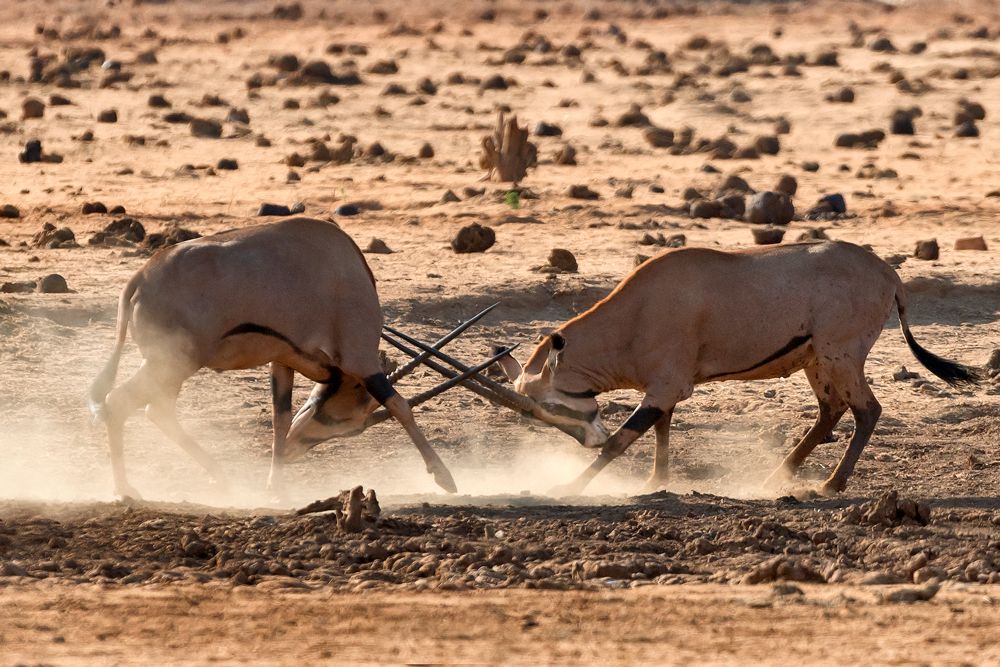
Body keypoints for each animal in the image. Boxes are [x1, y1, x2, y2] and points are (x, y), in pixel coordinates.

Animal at [87, 219, 504, 500]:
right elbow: (400, 405)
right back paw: (126, 490)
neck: (349, 269)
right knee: (120, 402)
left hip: (170, 368)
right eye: (349, 426)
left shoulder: (283, 360)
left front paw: (276, 486)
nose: (293, 453)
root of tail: (139, 279)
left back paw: (220, 478)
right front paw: (445, 478)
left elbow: (280, 418)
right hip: (171, 364)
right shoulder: (360, 357)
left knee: (152, 410)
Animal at [488, 240, 980, 496]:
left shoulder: (666, 386)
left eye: (555, 406)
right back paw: (776, 477)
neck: (636, 312)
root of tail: (887, 274)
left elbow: (624, 439)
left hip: (840, 356)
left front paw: (569, 488)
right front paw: (655, 481)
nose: (587, 440)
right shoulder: (665, 388)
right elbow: (662, 430)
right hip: (818, 362)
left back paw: (830, 485)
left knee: (867, 411)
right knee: (831, 412)